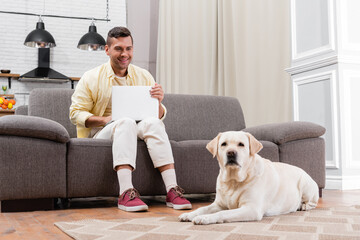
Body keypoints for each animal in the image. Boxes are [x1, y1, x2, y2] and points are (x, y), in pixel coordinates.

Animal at [179, 131, 318, 225]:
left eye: (241, 144)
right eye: (223, 144)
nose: (231, 153)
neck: (233, 180)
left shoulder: (251, 209)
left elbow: (223, 213)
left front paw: (205, 218)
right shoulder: (219, 204)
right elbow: (202, 208)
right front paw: (189, 215)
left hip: (305, 185)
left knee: (312, 202)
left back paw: (303, 206)